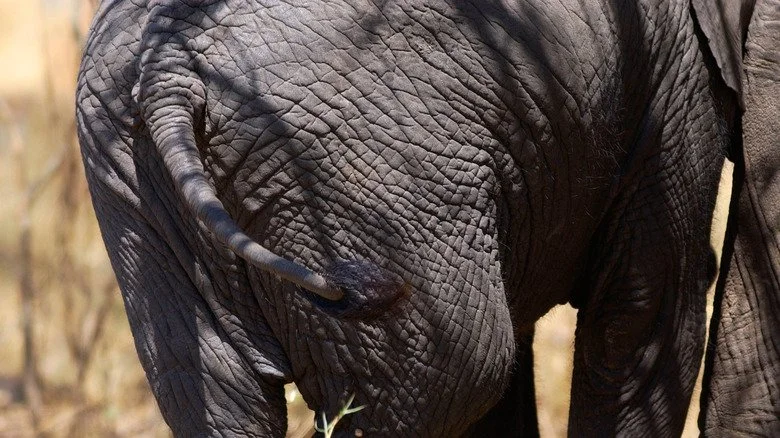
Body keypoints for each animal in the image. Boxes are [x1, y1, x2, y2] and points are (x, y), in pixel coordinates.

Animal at [75, 0, 779, 436]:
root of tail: (169, 70)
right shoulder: (673, 78)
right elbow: (641, 316)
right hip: (361, 171)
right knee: (458, 373)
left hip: (132, 179)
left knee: (220, 402)